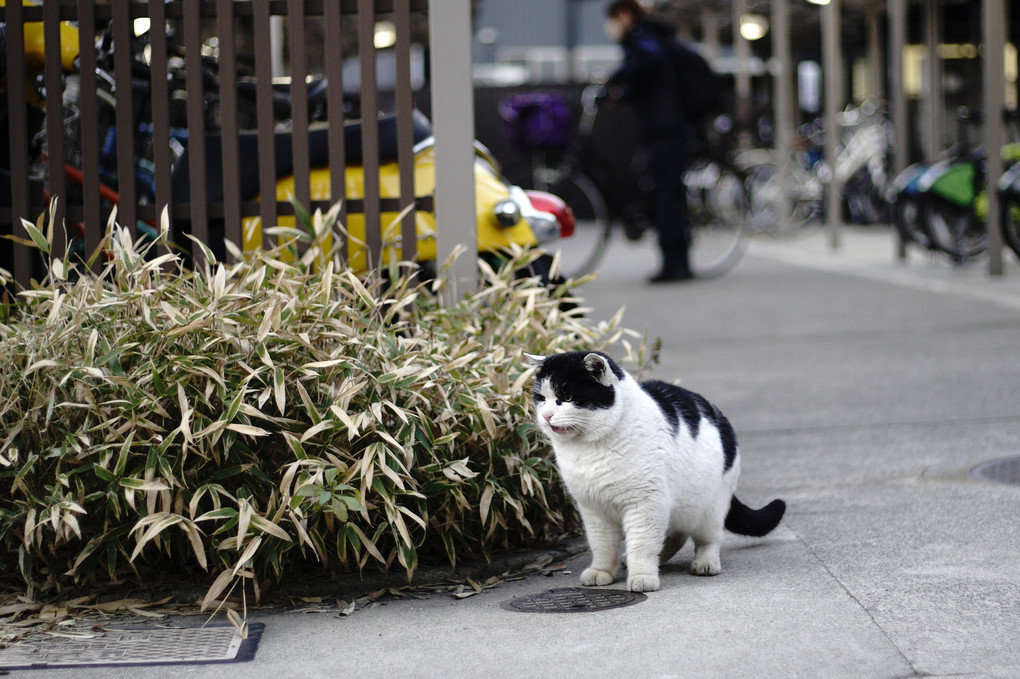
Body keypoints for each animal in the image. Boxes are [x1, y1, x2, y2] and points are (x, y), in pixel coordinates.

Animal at [530, 350, 783, 591]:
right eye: (541, 398)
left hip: (708, 508)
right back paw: (643, 560)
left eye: (567, 397)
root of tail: (721, 418)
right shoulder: (594, 509)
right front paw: (601, 571)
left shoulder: (645, 504)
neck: (587, 450)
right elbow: (602, 545)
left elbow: (642, 544)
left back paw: (705, 563)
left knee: (707, 540)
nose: (546, 415)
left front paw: (643, 577)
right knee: (675, 536)